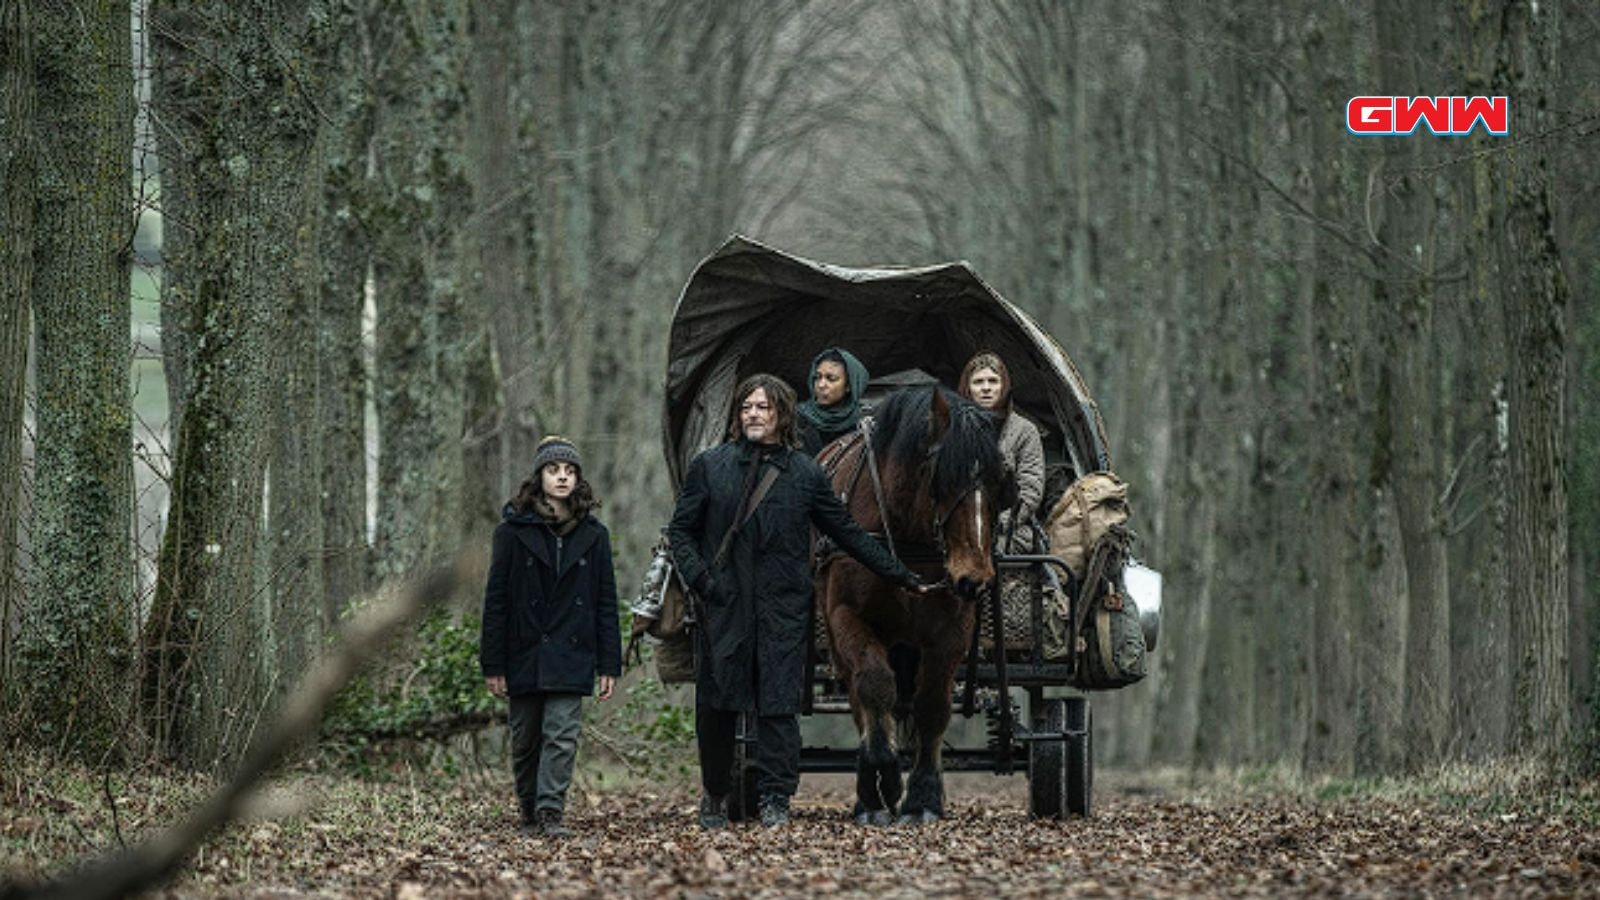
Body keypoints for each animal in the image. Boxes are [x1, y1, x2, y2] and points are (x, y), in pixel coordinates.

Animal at [812, 385, 998, 819]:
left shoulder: (951, 631)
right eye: (941, 476)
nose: (975, 578)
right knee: (860, 693)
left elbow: (931, 705)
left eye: (998, 480)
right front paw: (881, 783)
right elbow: (875, 686)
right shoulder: (846, 617)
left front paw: (924, 796)